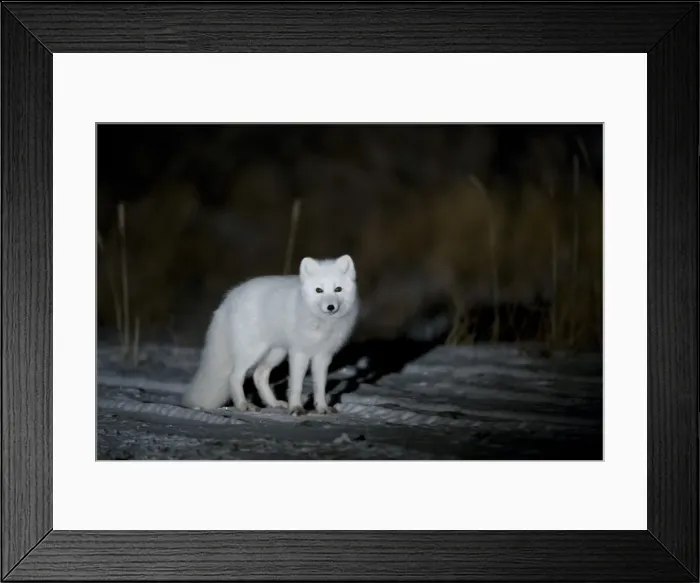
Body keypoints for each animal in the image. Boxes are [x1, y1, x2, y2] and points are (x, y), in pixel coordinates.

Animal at [181, 254, 359, 416]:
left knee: (259, 375)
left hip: (277, 352)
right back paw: (243, 405)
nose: (331, 307)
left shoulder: (323, 355)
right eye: (319, 290)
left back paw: (273, 403)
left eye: (338, 289)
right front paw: (296, 408)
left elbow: (320, 386)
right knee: (235, 376)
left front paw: (322, 408)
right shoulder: (299, 352)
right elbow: (296, 385)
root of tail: (231, 296)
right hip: (253, 352)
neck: (321, 323)